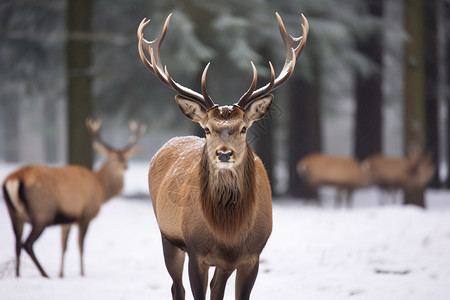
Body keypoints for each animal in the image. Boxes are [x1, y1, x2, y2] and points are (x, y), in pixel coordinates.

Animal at [1, 118, 145, 278]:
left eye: (127, 156)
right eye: (112, 158)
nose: (125, 166)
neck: (100, 189)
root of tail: (14, 178)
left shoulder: (68, 219)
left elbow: (64, 246)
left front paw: (61, 274)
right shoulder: (85, 214)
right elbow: (81, 245)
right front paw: (82, 273)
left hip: (15, 214)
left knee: (17, 243)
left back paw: (18, 275)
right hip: (42, 213)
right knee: (27, 243)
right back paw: (45, 274)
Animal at [135, 12, 308, 300]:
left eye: (244, 128)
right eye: (207, 128)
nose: (224, 154)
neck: (229, 235)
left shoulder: (251, 256)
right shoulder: (196, 252)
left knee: (213, 288)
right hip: (168, 236)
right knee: (176, 287)